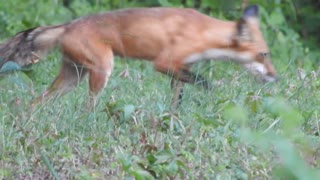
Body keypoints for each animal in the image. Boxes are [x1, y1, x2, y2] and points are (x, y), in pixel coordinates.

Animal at [0, 5, 276, 109]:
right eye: (264, 54)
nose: (276, 78)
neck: (202, 32)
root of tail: (68, 25)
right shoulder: (164, 63)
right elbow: (203, 82)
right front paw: (212, 93)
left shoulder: (180, 69)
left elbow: (178, 98)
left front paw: (173, 119)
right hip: (102, 70)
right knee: (87, 106)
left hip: (72, 78)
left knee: (37, 101)